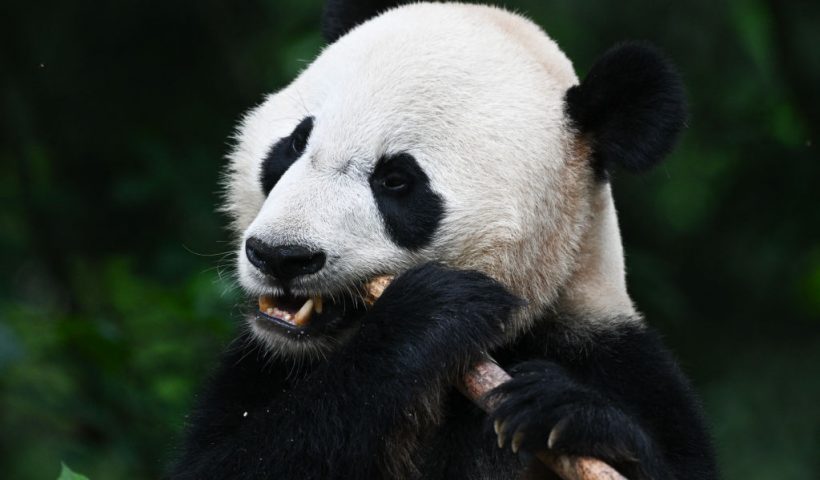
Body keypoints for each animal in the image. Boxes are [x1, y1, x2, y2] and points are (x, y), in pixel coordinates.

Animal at [171, 1, 716, 478]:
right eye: (294, 144)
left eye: (396, 180)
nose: (281, 256)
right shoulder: (259, 367)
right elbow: (235, 461)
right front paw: (434, 310)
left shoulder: (615, 359)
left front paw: (569, 414)